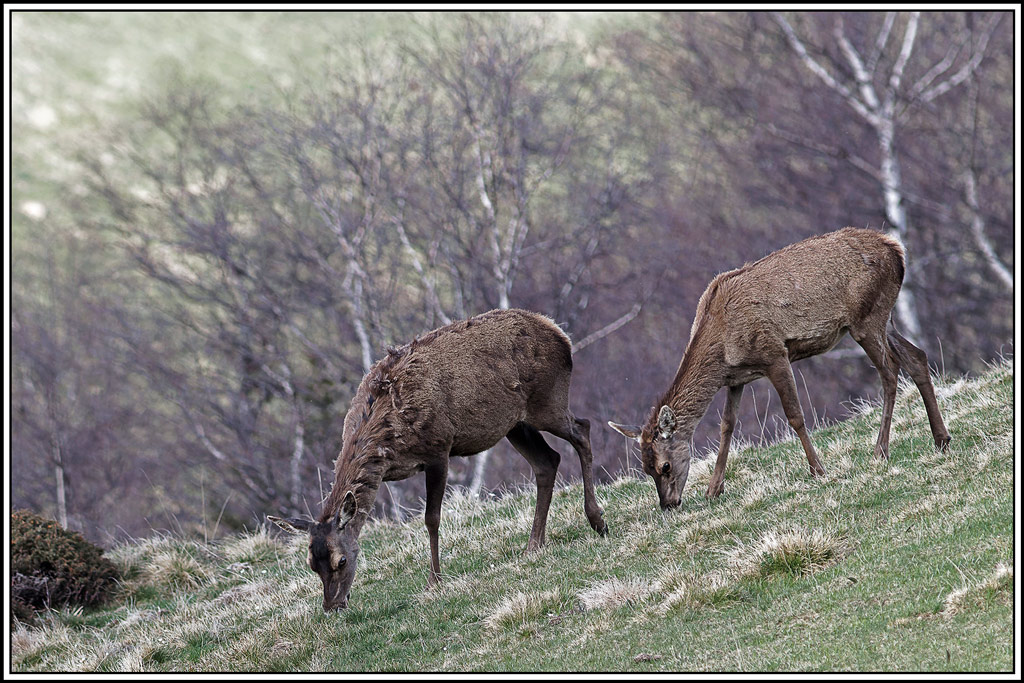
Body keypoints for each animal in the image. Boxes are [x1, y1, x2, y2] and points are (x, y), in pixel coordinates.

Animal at [269, 308, 607, 611]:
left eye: (341, 560)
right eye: (311, 563)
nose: (332, 605)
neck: (386, 441)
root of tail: (560, 334)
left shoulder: (438, 449)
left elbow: (431, 519)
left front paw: (434, 581)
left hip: (547, 400)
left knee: (583, 429)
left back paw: (597, 520)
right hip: (516, 424)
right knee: (548, 462)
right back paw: (533, 545)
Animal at [609, 227, 951, 510]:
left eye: (664, 466)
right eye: (645, 468)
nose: (669, 504)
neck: (721, 348)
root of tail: (897, 249)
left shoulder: (774, 354)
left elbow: (795, 416)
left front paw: (817, 470)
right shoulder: (736, 378)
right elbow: (727, 426)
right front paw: (713, 489)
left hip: (866, 317)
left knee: (890, 372)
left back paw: (880, 450)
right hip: (886, 316)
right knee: (917, 357)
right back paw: (941, 438)